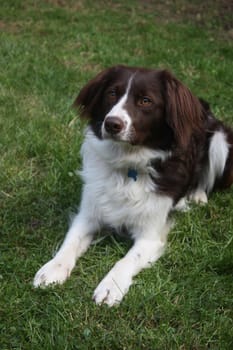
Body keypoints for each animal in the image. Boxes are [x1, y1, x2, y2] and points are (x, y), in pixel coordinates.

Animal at [34, 65, 233, 306]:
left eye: (145, 100)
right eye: (112, 93)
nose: (112, 124)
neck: (128, 165)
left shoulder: (150, 236)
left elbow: (127, 259)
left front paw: (111, 287)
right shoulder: (88, 213)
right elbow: (70, 241)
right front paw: (52, 269)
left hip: (220, 140)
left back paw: (197, 195)